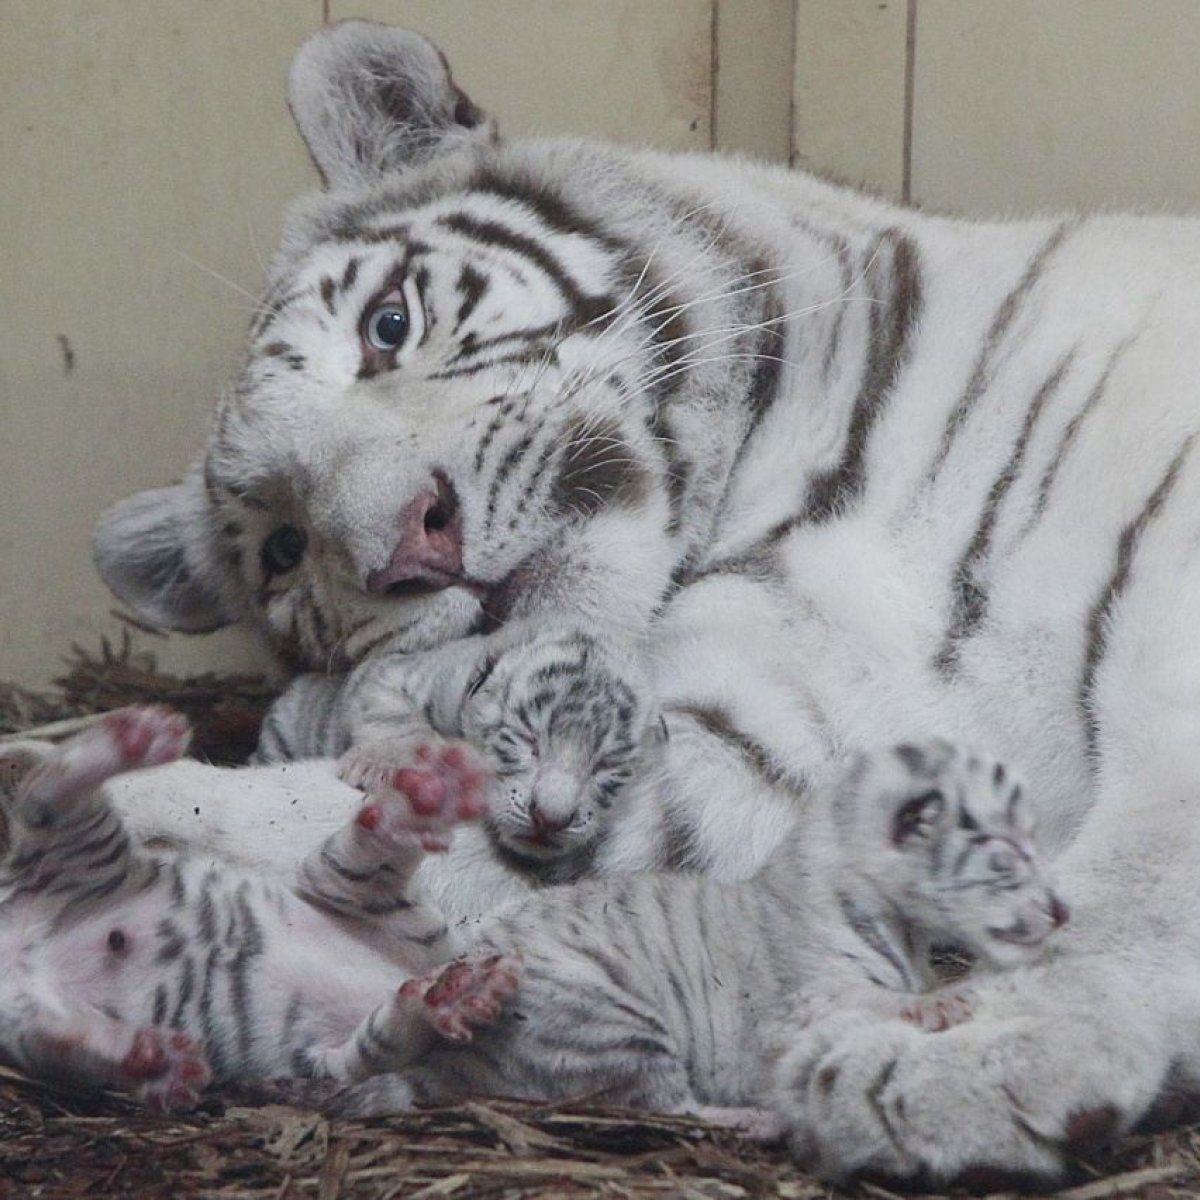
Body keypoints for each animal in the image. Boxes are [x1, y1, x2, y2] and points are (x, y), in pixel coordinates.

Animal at [88, 18, 1200, 1190]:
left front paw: (972, 1052)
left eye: (388, 326)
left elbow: (1145, 870)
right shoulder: (756, 749)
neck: (781, 488)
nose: (410, 543)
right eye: (283, 549)